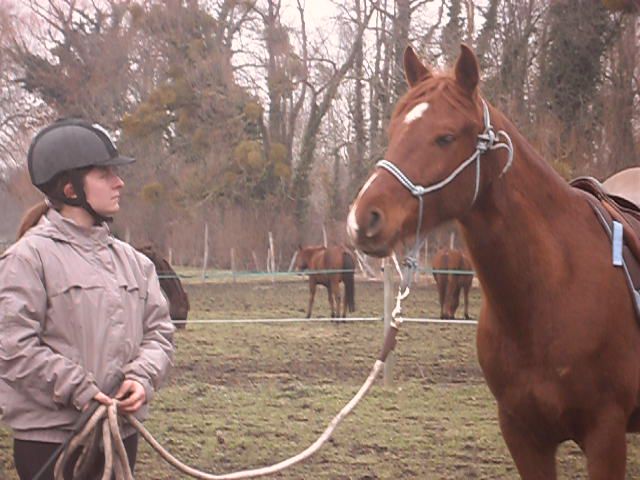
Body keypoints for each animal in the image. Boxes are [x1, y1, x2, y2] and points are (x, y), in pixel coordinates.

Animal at [346, 44, 640, 479]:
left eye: (445, 137)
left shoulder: (605, 435)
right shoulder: (523, 435)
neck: (552, 291)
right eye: (394, 131)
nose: (364, 218)